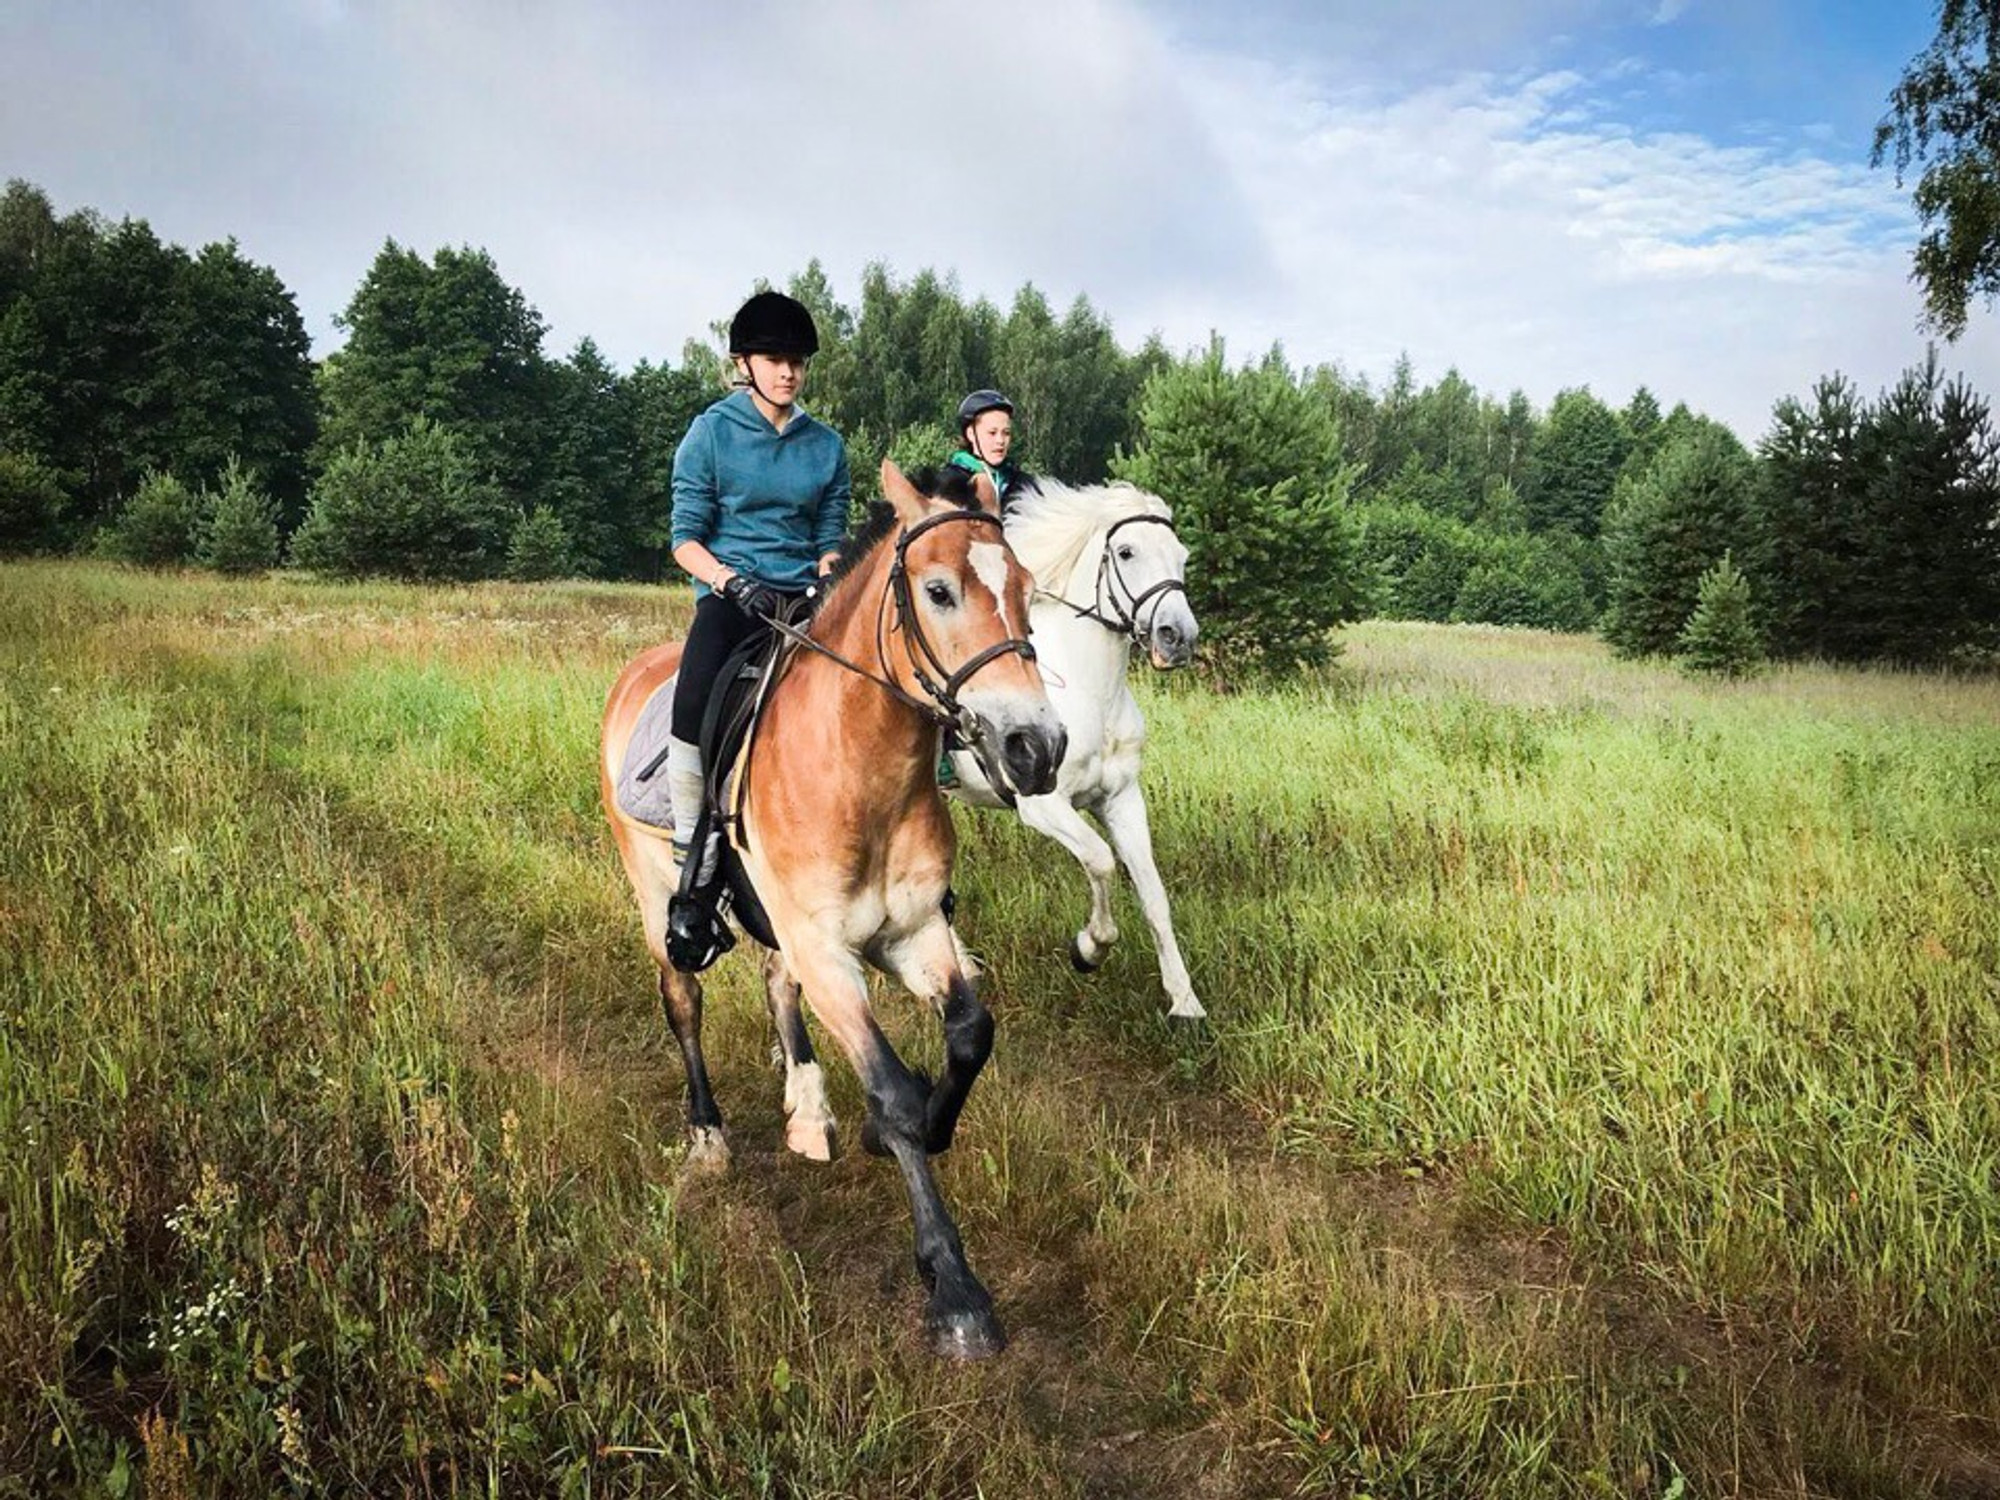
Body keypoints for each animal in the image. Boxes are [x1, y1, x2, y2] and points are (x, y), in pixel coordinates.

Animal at [596, 462, 1064, 1360]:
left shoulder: (913, 933)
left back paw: (808, 1110)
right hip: (654, 891)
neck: (861, 766)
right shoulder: (828, 952)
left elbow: (969, 1035)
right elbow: (889, 1088)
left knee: (777, 989)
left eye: (1025, 589)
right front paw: (955, 1290)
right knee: (683, 999)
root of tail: (635, 673)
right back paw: (709, 1137)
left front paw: (917, 1118)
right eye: (939, 590)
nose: (1038, 748)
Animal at [948, 478, 1208, 1024]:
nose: (1179, 638)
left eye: (1182, 556)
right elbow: (1101, 860)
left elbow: (1154, 895)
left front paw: (1185, 1002)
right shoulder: (1043, 805)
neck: (1090, 691)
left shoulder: (1123, 799)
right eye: (1126, 552)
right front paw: (1089, 949)